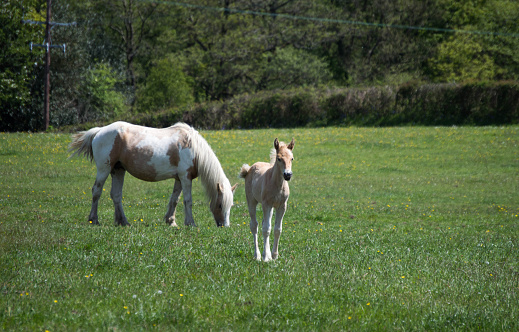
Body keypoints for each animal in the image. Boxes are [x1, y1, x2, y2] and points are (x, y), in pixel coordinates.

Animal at [69, 122, 238, 228]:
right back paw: (94, 220)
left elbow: (174, 200)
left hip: (118, 170)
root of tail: (99, 131)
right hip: (104, 169)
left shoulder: (179, 179)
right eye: (220, 204)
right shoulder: (185, 177)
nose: (225, 226)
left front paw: (171, 221)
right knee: (96, 191)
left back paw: (123, 222)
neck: (194, 148)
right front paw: (190, 223)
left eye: (231, 205)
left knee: (116, 195)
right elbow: (187, 200)